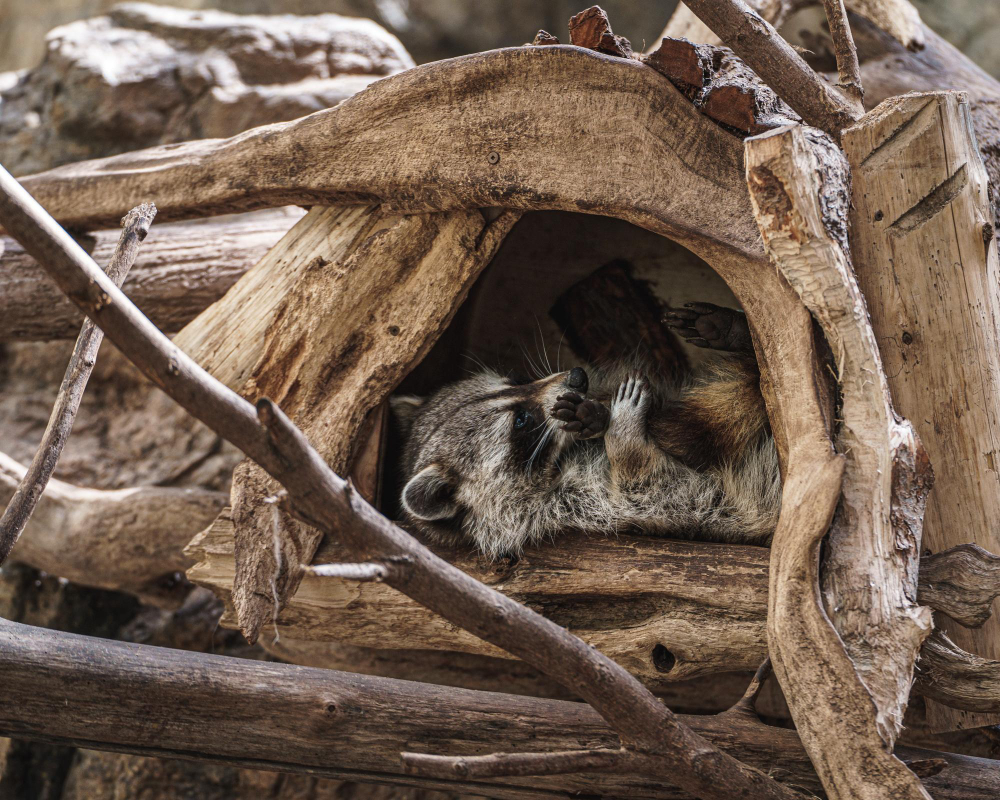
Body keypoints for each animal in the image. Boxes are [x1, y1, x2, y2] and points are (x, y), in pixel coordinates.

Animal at [390, 300, 780, 556]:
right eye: (521, 421)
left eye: (515, 378)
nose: (577, 377)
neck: (565, 458)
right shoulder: (586, 504)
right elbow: (651, 482)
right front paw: (621, 435)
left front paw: (598, 413)